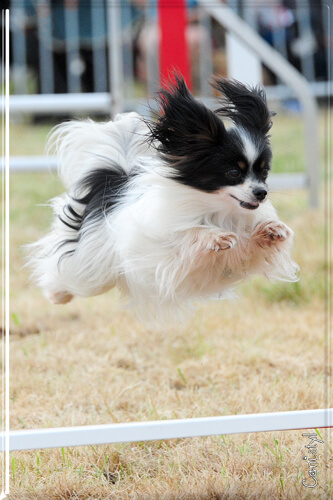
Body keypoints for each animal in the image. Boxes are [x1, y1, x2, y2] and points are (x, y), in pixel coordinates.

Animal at [27, 76, 298, 322]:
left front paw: (270, 229)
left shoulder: (240, 258)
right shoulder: (168, 252)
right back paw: (56, 294)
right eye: (233, 172)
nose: (261, 192)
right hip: (92, 267)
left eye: (264, 172)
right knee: (68, 273)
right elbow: (190, 234)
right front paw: (216, 237)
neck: (217, 208)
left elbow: (250, 244)